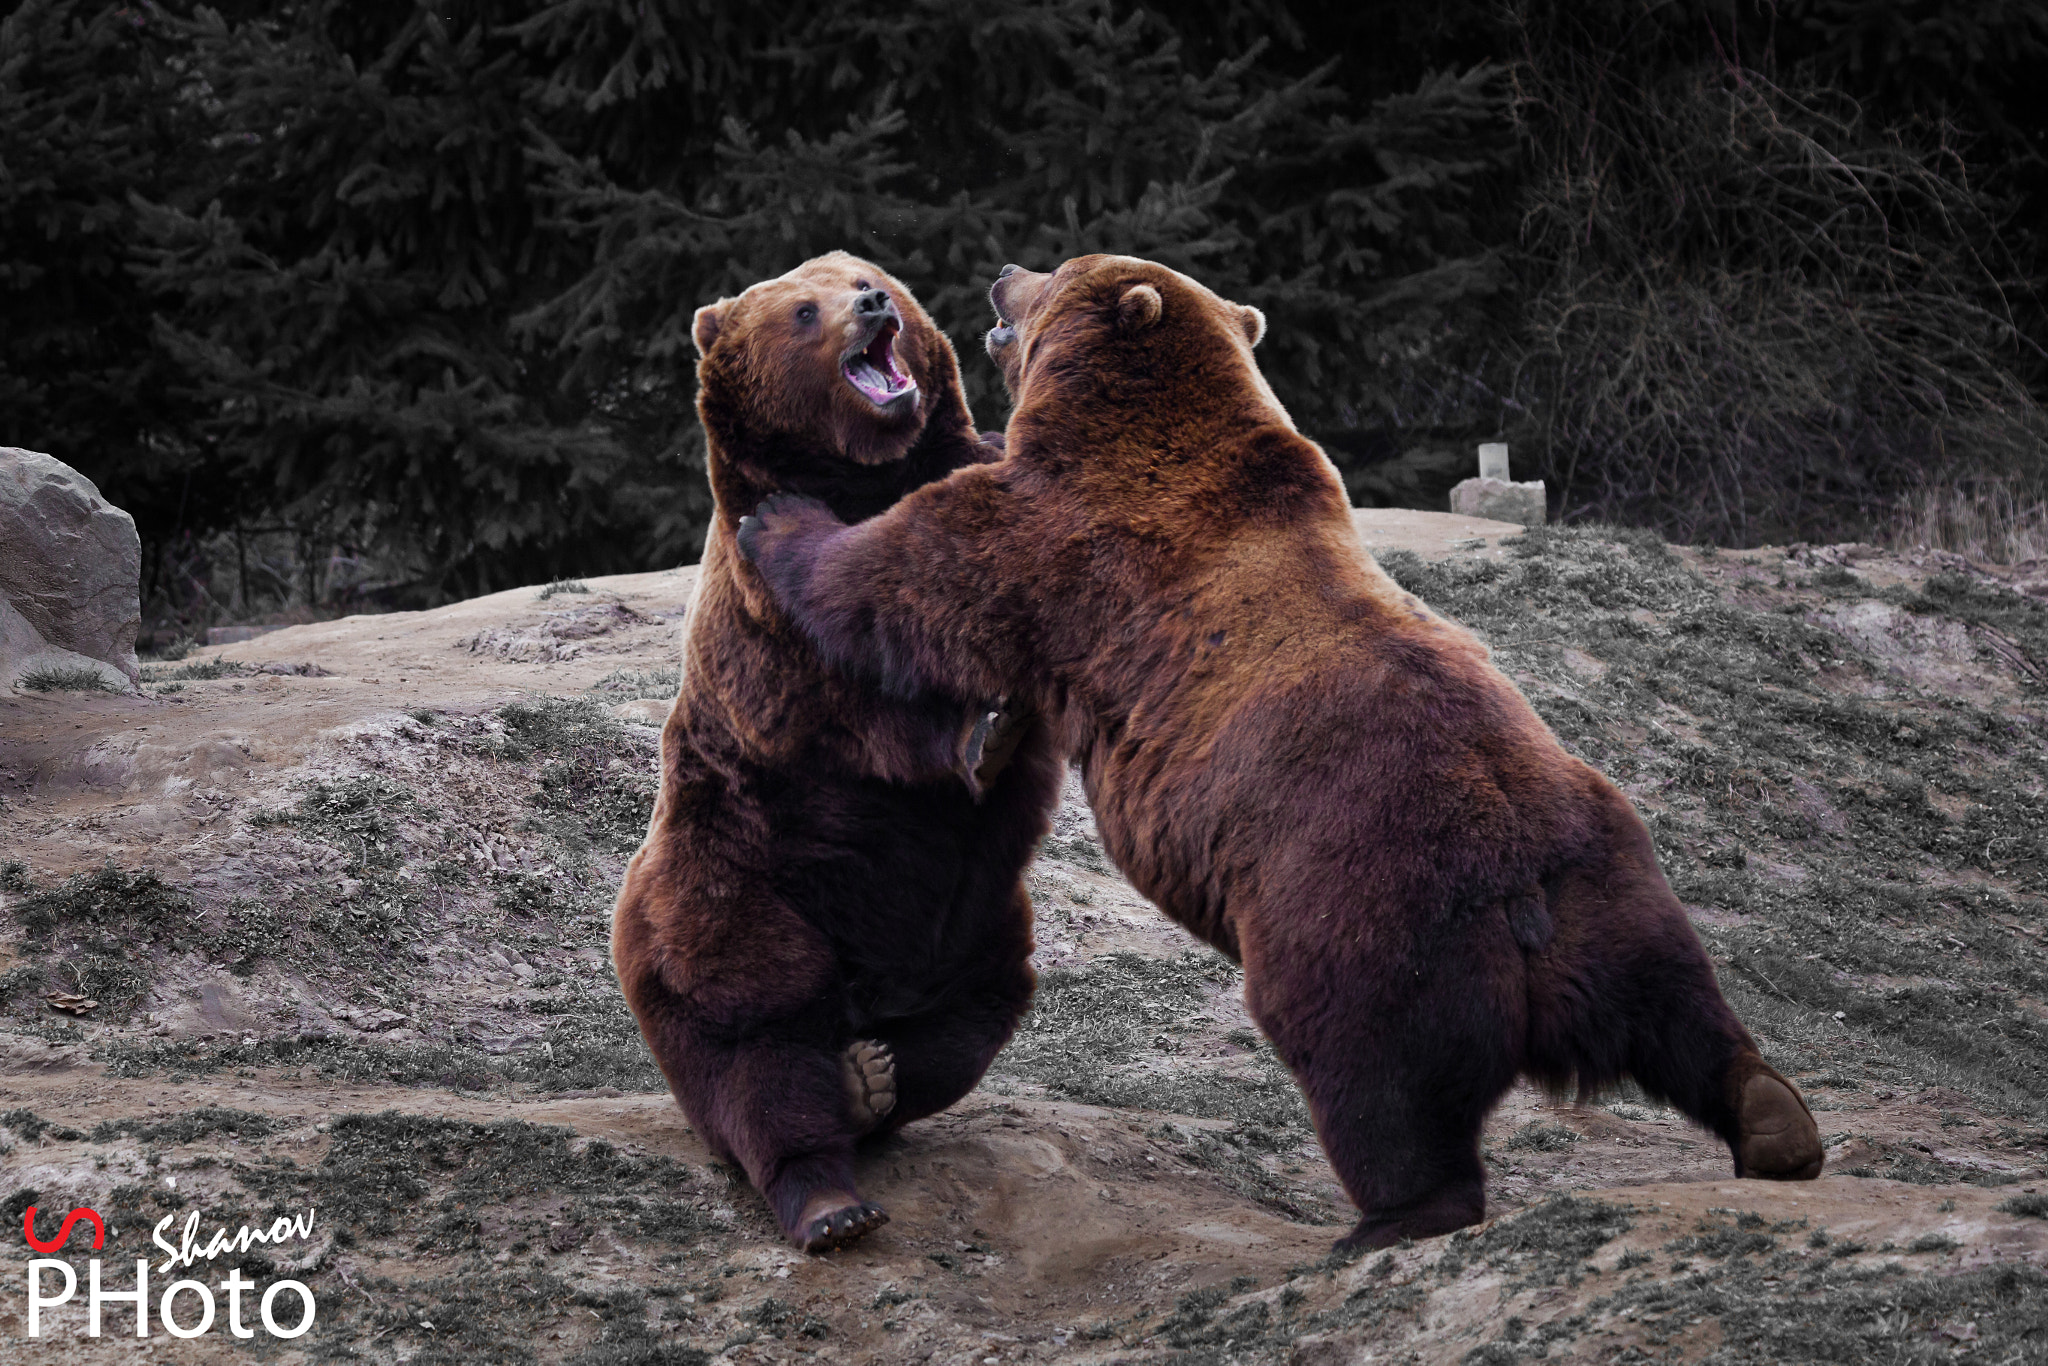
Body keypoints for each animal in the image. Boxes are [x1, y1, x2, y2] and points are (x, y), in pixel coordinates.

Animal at [611, 252, 1061, 1254]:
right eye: (803, 310)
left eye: (860, 272)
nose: (871, 302)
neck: (865, 475)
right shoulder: (773, 639)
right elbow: (866, 688)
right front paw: (983, 729)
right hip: (731, 892)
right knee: (757, 1047)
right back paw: (829, 1195)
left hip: (975, 921)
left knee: (976, 1015)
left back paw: (876, 1077)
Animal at [735, 253, 1825, 1251]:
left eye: (1058, 270)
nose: (1004, 270)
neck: (1138, 427)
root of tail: (1520, 894)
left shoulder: (1056, 537)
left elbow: (899, 575)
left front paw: (778, 517)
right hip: (1611, 882)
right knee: (1675, 1006)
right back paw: (1775, 1122)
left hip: (1357, 914)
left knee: (1378, 1081)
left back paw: (1388, 1218)